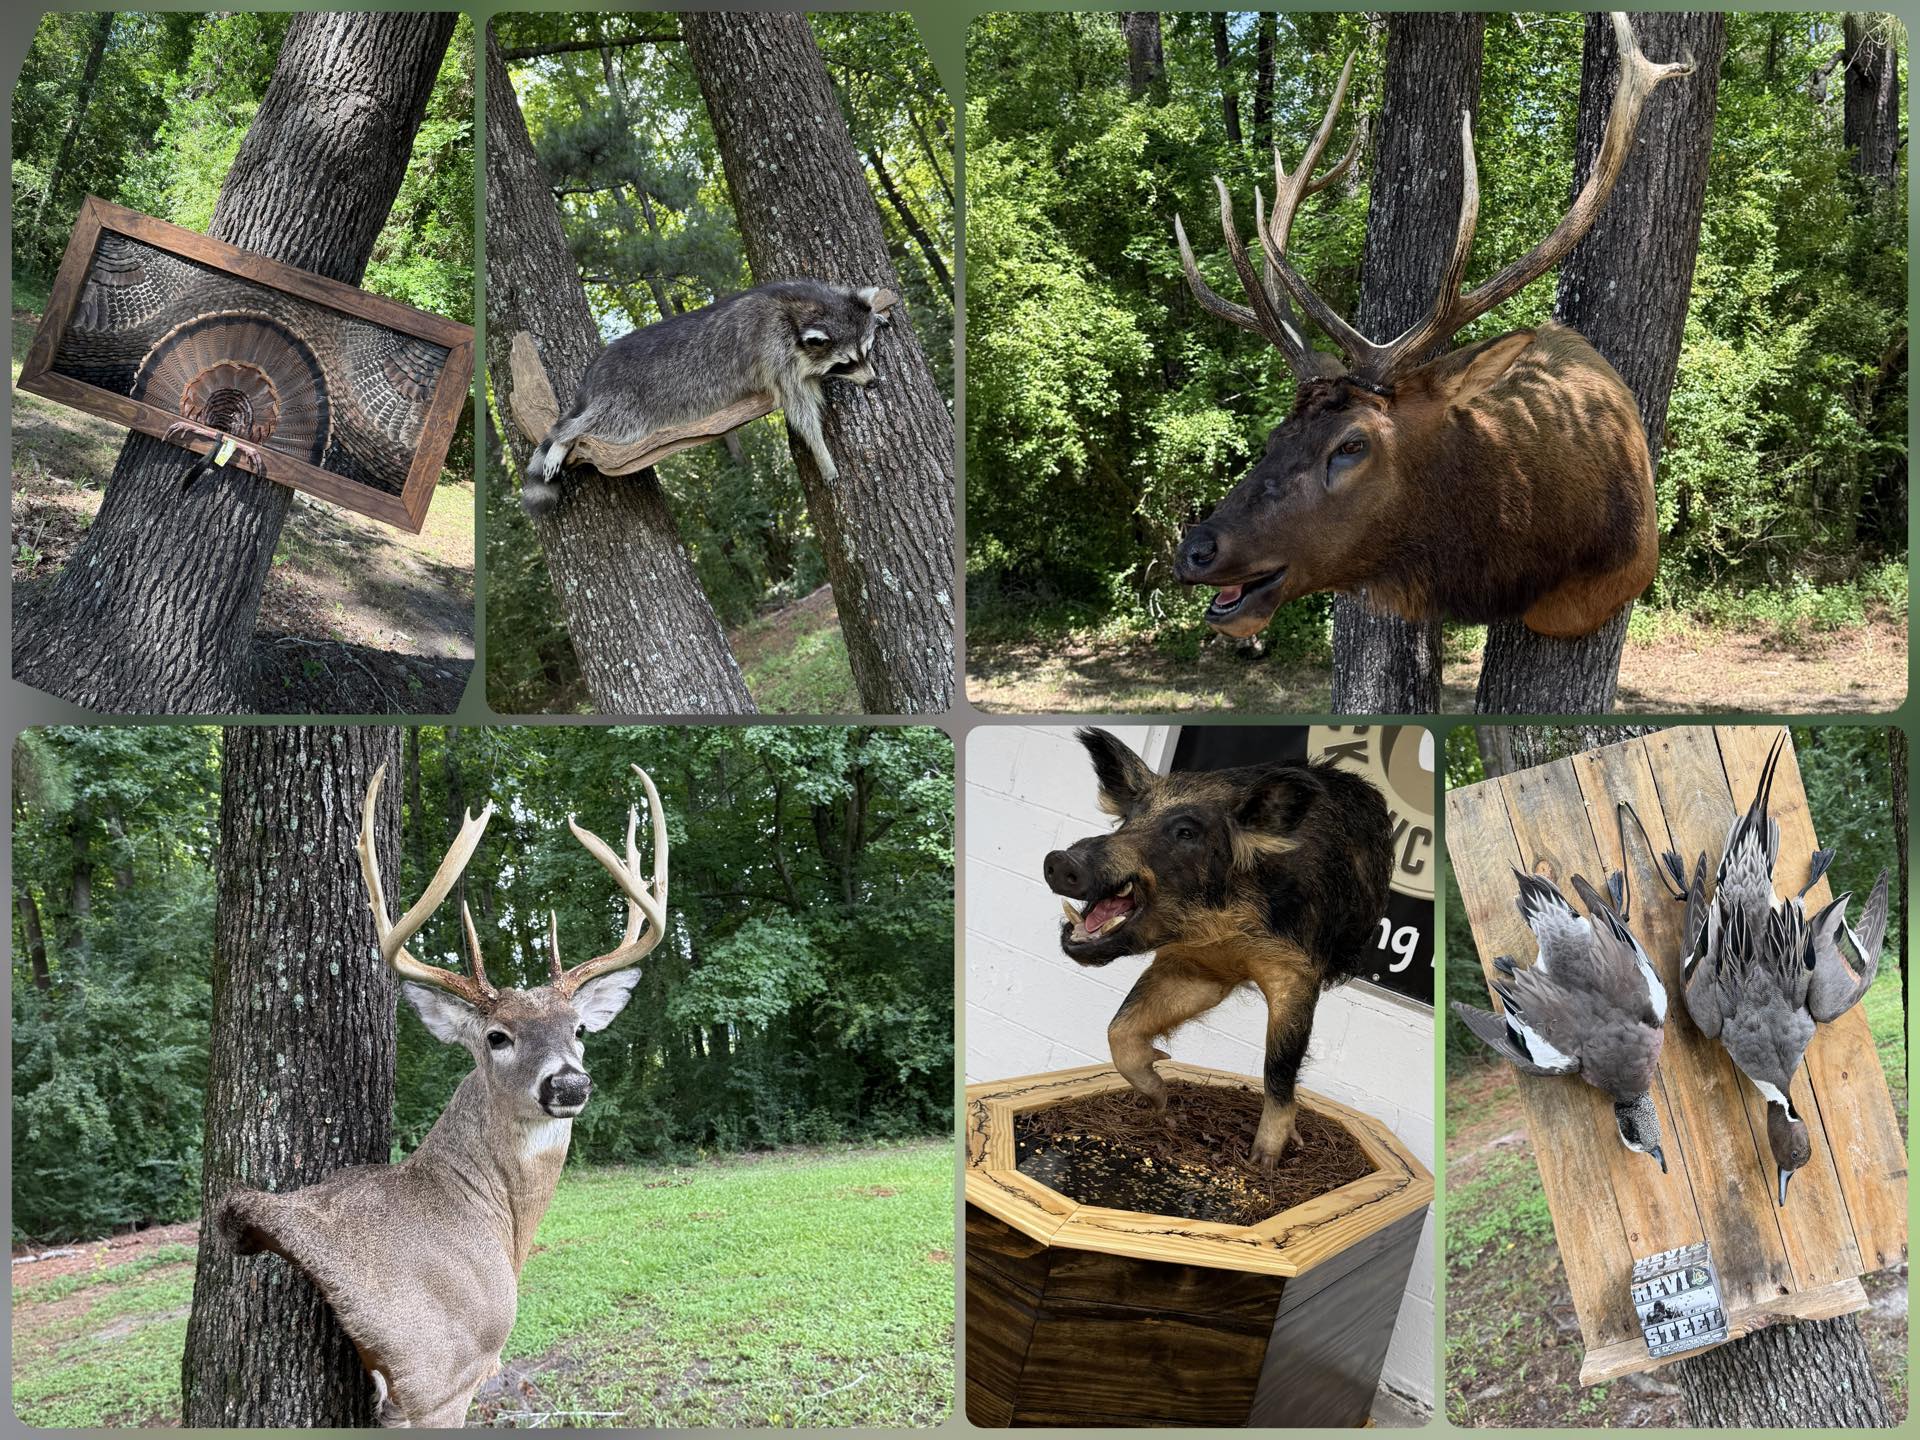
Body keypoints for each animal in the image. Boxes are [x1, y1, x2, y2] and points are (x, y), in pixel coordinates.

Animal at [214, 761, 669, 1427]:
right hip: (431, 1368)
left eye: (580, 1029)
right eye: (497, 1035)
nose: (568, 1083)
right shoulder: (456, 1372)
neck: (494, 1216)